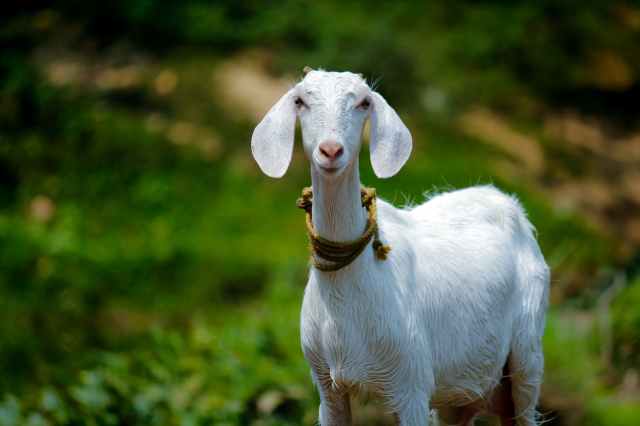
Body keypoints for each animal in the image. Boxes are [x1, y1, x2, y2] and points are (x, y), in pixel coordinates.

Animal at [250, 69, 550, 426]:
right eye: (300, 100)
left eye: (363, 102)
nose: (331, 150)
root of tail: (508, 201)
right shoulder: (327, 386)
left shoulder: (411, 384)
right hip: (462, 390)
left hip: (527, 354)